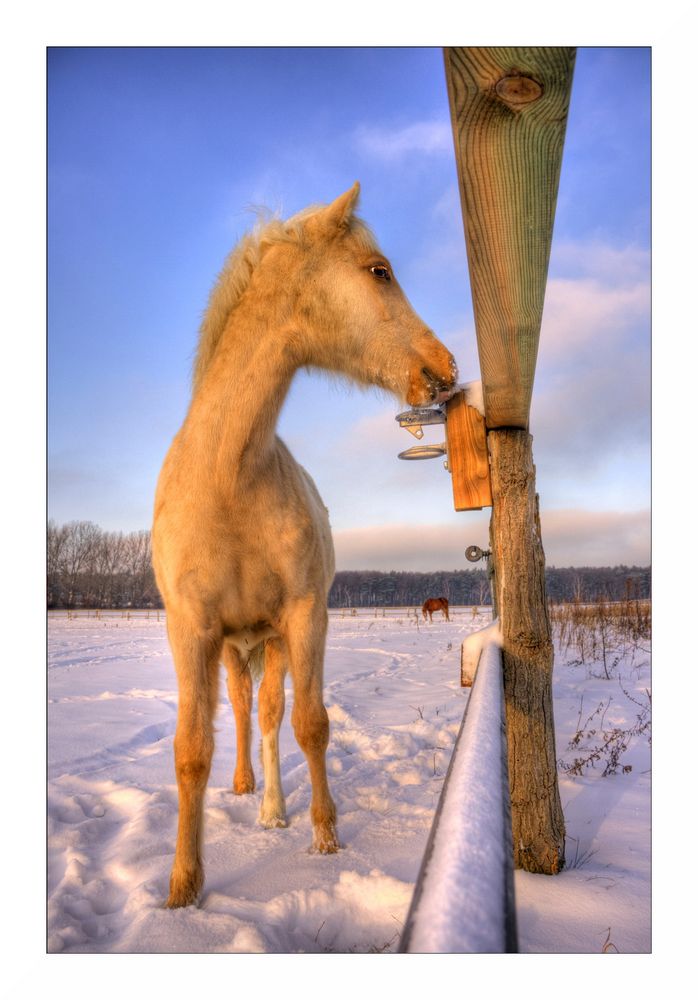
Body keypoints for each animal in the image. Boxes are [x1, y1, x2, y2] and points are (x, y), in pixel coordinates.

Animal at [152, 182, 456, 908]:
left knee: (267, 714)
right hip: (235, 648)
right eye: (379, 271)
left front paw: (323, 838)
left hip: (270, 642)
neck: (228, 477)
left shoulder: (303, 617)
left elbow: (310, 724)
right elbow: (191, 750)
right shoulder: (190, 630)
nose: (444, 369)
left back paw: (273, 809)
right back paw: (245, 789)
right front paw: (182, 890)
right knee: (241, 714)